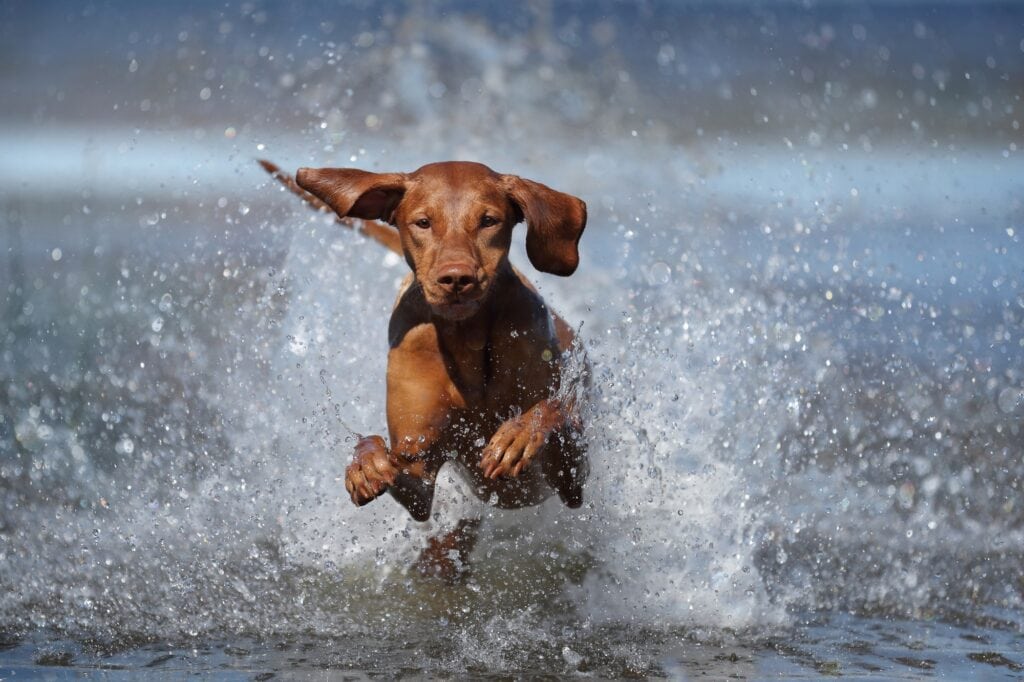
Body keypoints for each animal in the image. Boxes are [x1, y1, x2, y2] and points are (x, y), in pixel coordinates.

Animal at [260, 160, 589, 577]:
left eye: (488, 221)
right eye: (422, 222)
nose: (456, 278)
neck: (467, 341)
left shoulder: (574, 484)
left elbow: (554, 410)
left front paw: (519, 435)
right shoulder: (418, 469)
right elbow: (388, 460)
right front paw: (365, 464)